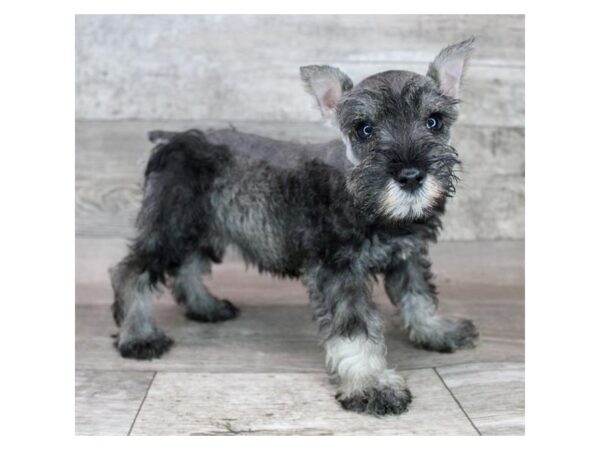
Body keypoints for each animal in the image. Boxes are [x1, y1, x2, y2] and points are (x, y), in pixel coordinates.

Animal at [110, 38, 478, 414]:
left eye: (433, 121)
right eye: (365, 129)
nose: (411, 176)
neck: (367, 201)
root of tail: (174, 139)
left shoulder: (408, 254)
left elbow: (419, 295)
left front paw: (437, 331)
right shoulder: (337, 270)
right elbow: (354, 328)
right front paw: (371, 384)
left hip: (201, 228)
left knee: (188, 267)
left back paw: (206, 307)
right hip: (172, 227)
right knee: (133, 272)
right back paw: (139, 337)